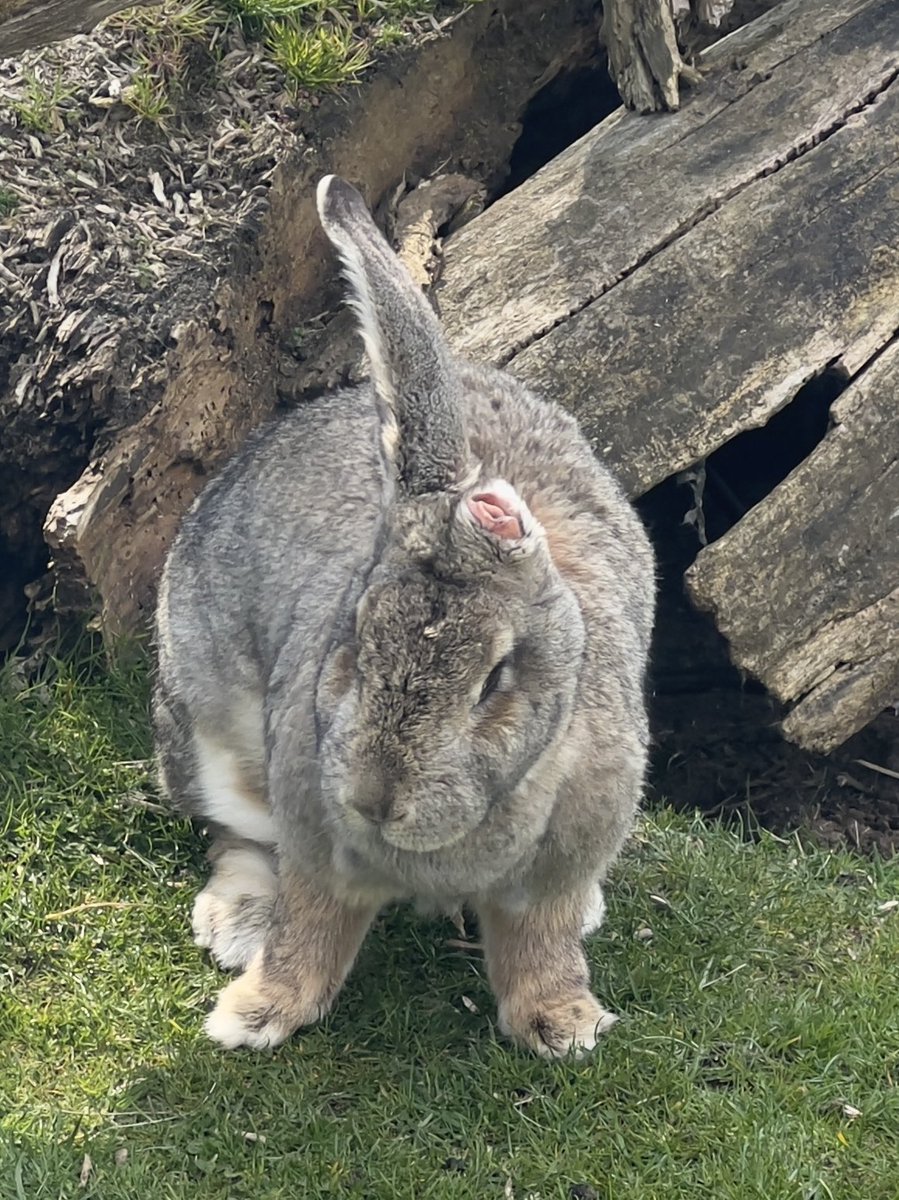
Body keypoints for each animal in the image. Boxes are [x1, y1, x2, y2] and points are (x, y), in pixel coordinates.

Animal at [153, 175, 655, 1058]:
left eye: (494, 679)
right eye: (354, 638)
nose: (377, 800)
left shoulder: (561, 860)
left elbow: (541, 940)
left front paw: (562, 1024)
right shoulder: (313, 828)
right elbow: (310, 928)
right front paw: (253, 1014)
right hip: (206, 730)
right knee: (232, 828)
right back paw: (239, 922)